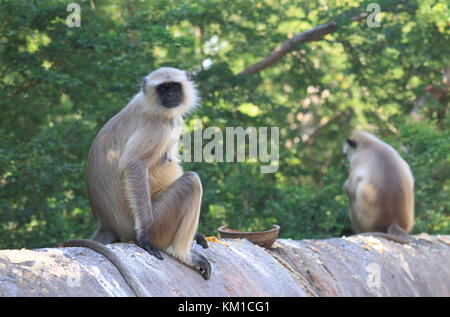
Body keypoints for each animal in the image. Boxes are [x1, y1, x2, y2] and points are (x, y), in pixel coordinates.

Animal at [60, 67, 213, 296]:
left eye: (174, 86)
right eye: (163, 88)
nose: (170, 95)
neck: (151, 105)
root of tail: (106, 224)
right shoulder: (156, 126)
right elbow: (134, 164)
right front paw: (144, 239)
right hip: (159, 219)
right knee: (192, 181)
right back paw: (182, 254)